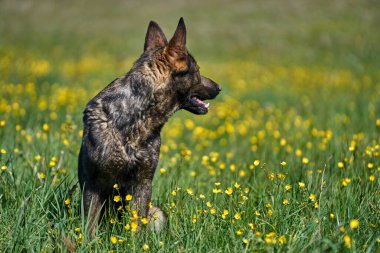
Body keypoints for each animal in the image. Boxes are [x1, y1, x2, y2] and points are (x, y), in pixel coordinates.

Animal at [77, 18, 220, 237]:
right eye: (197, 70)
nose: (219, 88)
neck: (134, 120)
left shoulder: (143, 182)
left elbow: (136, 224)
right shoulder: (93, 184)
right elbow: (90, 226)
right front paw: (89, 243)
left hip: (157, 213)